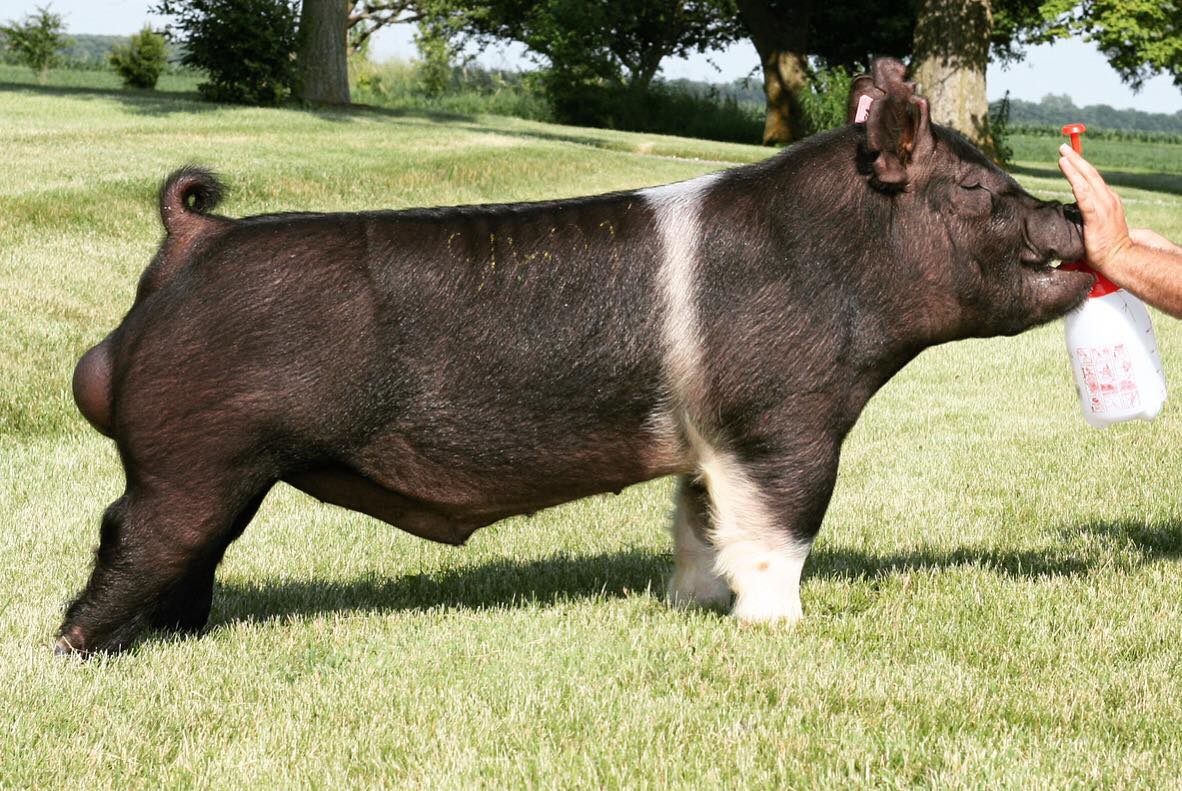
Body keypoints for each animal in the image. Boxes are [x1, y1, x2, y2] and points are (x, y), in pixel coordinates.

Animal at [57, 58, 1090, 655]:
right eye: (977, 190)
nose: (1074, 215)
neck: (833, 264)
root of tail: (195, 237)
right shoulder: (785, 421)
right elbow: (779, 531)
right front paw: (779, 629)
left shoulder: (709, 442)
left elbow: (699, 525)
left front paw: (691, 606)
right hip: (193, 457)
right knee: (128, 535)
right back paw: (79, 649)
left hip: (224, 469)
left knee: (193, 552)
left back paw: (185, 637)